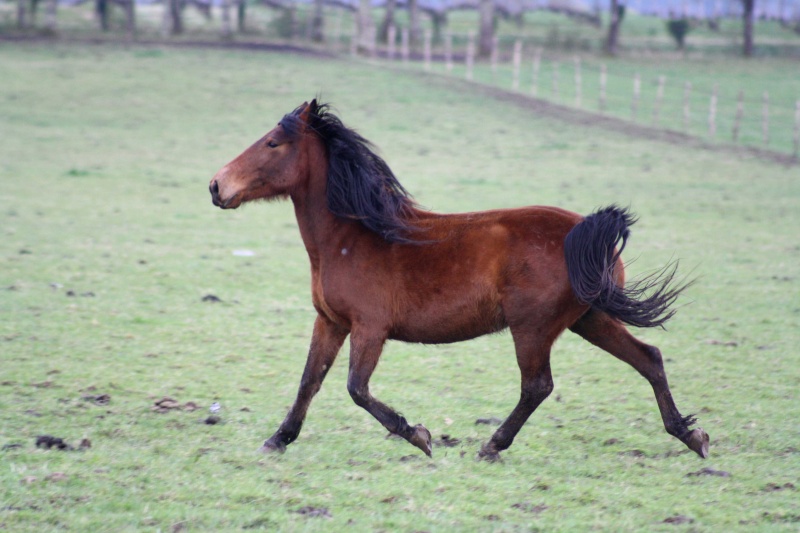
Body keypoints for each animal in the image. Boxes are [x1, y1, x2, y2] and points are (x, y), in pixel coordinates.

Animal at [209, 100, 708, 462]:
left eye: (273, 143)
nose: (216, 186)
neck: (353, 236)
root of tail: (586, 233)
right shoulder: (330, 322)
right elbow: (308, 382)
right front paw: (277, 439)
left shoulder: (370, 328)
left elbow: (356, 389)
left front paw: (418, 435)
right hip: (589, 318)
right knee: (648, 358)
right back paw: (691, 435)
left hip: (534, 328)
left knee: (538, 385)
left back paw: (492, 446)